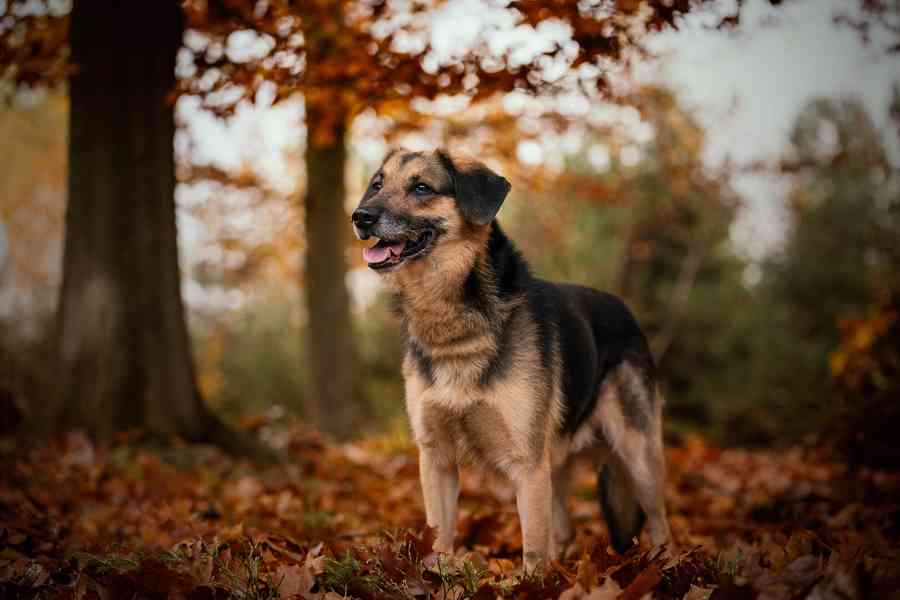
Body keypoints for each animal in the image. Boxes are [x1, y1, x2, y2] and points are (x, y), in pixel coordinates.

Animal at [350, 148, 668, 568]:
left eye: (421, 188)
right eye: (377, 185)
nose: (360, 216)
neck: (456, 327)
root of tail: (627, 312)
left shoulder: (527, 466)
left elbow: (532, 548)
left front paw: (531, 580)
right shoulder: (436, 459)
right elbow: (440, 536)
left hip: (638, 454)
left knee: (660, 522)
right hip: (557, 463)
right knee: (562, 530)